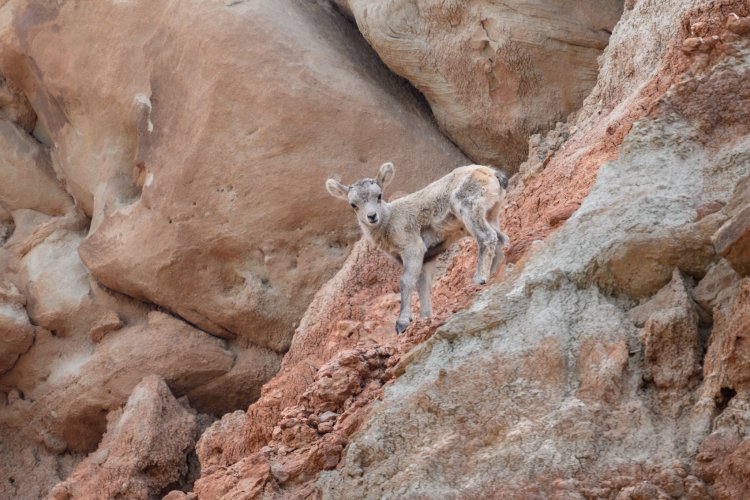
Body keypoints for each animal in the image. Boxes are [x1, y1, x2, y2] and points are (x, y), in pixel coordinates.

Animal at [324, 162, 508, 332]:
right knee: (501, 239)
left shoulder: (413, 249)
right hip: (490, 215)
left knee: (487, 237)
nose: (372, 216)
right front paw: (425, 317)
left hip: (468, 207)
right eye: (353, 204)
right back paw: (492, 273)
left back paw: (479, 279)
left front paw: (402, 323)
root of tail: (491, 174)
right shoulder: (426, 258)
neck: (389, 222)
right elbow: (422, 286)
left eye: (379, 196)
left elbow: (406, 281)